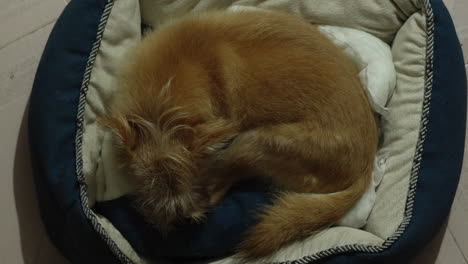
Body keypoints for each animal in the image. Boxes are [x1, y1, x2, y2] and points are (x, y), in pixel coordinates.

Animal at [101, 10, 376, 260]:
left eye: (195, 178)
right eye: (146, 183)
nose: (182, 218)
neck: (163, 107)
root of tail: (365, 170)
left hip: (254, 143)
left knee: (222, 187)